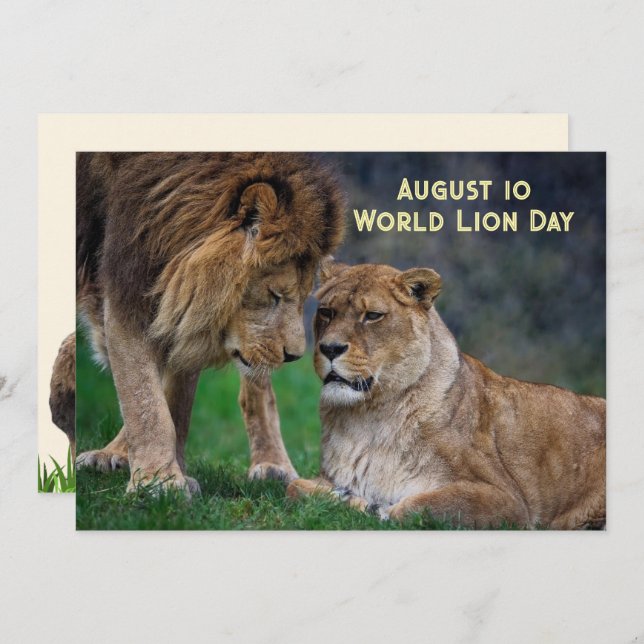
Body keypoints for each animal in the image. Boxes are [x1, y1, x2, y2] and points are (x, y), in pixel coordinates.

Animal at [75, 152, 344, 496]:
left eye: (303, 298)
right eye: (274, 295)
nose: (294, 356)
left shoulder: (188, 306)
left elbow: (173, 403)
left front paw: (166, 476)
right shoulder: (132, 280)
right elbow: (144, 397)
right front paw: (158, 482)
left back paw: (274, 466)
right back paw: (113, 454)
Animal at [287, 262, 606, 529]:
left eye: (373, 316)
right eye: (327, 312)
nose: (329, 348)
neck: (369, 415)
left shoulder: (507, 501)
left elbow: (421, 506)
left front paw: (372, 507)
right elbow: (293, 487)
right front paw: (344, 498)